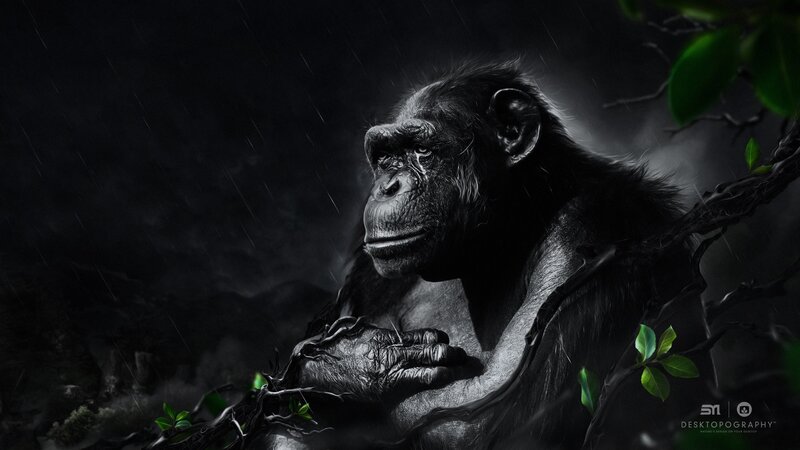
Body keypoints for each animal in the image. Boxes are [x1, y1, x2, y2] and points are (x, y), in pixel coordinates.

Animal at [264, 61, 710, 449]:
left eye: (421, 150)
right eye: (385, 155)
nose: (387, 186)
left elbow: (487, 419)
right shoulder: (364, 273)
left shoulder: (593, 233)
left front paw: (348, 366)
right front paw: (356, 364)